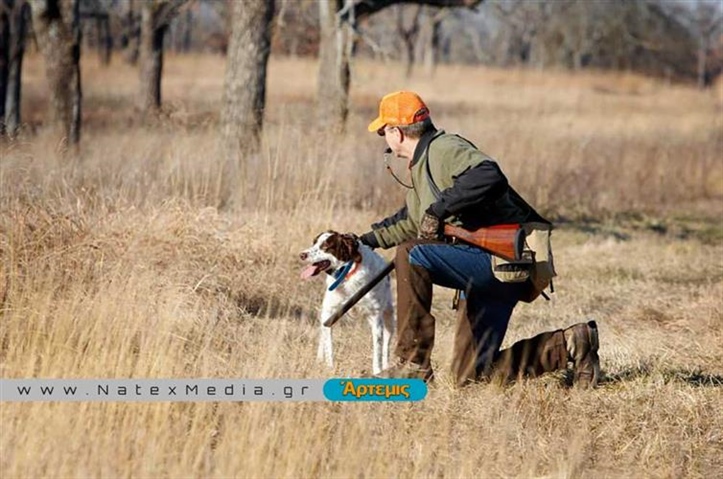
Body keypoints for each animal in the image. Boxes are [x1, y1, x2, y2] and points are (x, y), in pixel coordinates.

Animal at [300, 232, 396, 376]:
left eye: (326, 246)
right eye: (314, 243)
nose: (302, 255)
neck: (347, 275)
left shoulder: (375, 316)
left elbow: (378, 350)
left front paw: (377, 372)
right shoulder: (329, 313)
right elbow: (328, 345)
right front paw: (329, 367)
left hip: (389, 317)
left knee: (386, 346)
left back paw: (386, 367)